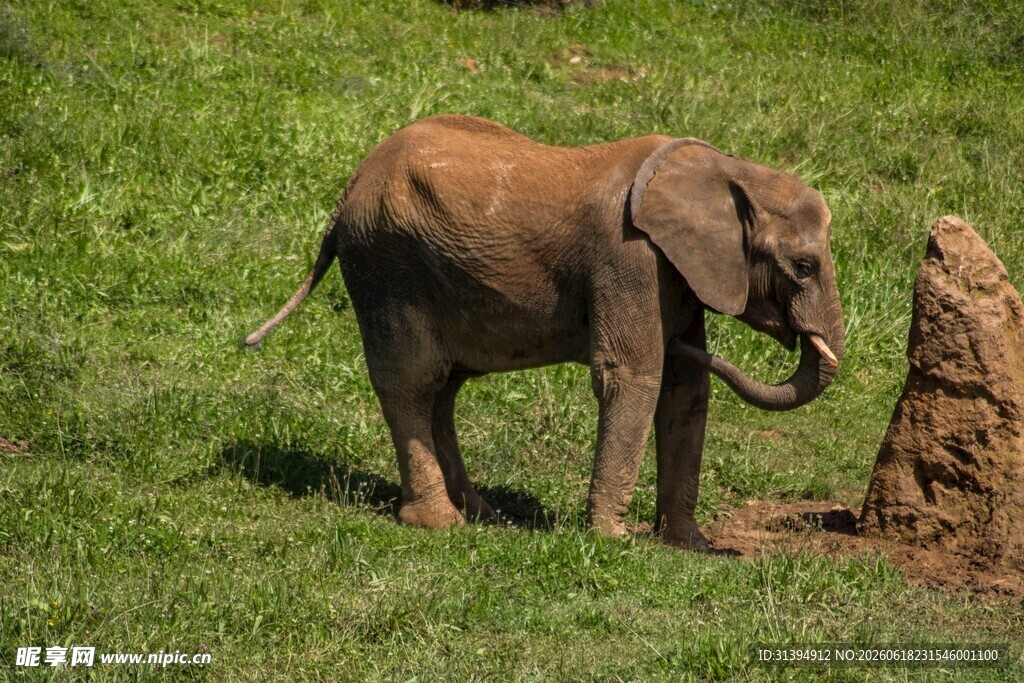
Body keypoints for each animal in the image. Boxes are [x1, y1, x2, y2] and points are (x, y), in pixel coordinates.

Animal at [245, 115, 844, 549]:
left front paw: (686, 545)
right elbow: (633, 375)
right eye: (803, 267)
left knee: (444, 388)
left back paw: (483, 514)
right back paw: (440, 524)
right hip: (386, 264)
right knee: (413, 380)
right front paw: (613, 541)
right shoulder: (628, 259)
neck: (726, 169)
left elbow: (685, 389)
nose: (727, 551)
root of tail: (348, 189)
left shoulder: (679, 272)